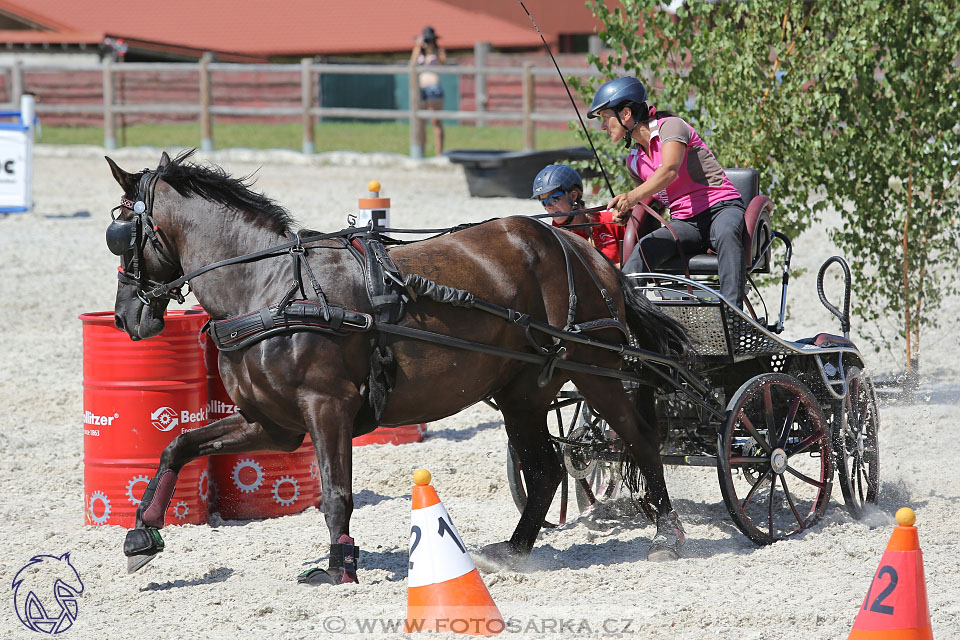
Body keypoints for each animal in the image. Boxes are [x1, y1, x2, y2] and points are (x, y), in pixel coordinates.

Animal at [105, 151, 688, 584]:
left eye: (119, 233)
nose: (126, 316)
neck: (270, 288)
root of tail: (581, 249)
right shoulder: (272, 424)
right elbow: (178, 446)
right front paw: (142, 534)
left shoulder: (327, 407)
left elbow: (335, 493)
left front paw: (340, 565)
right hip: (522, 392)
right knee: (545, 470)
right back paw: (515, 550)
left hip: (597, 369)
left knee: (639, 439)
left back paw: (667, 533)